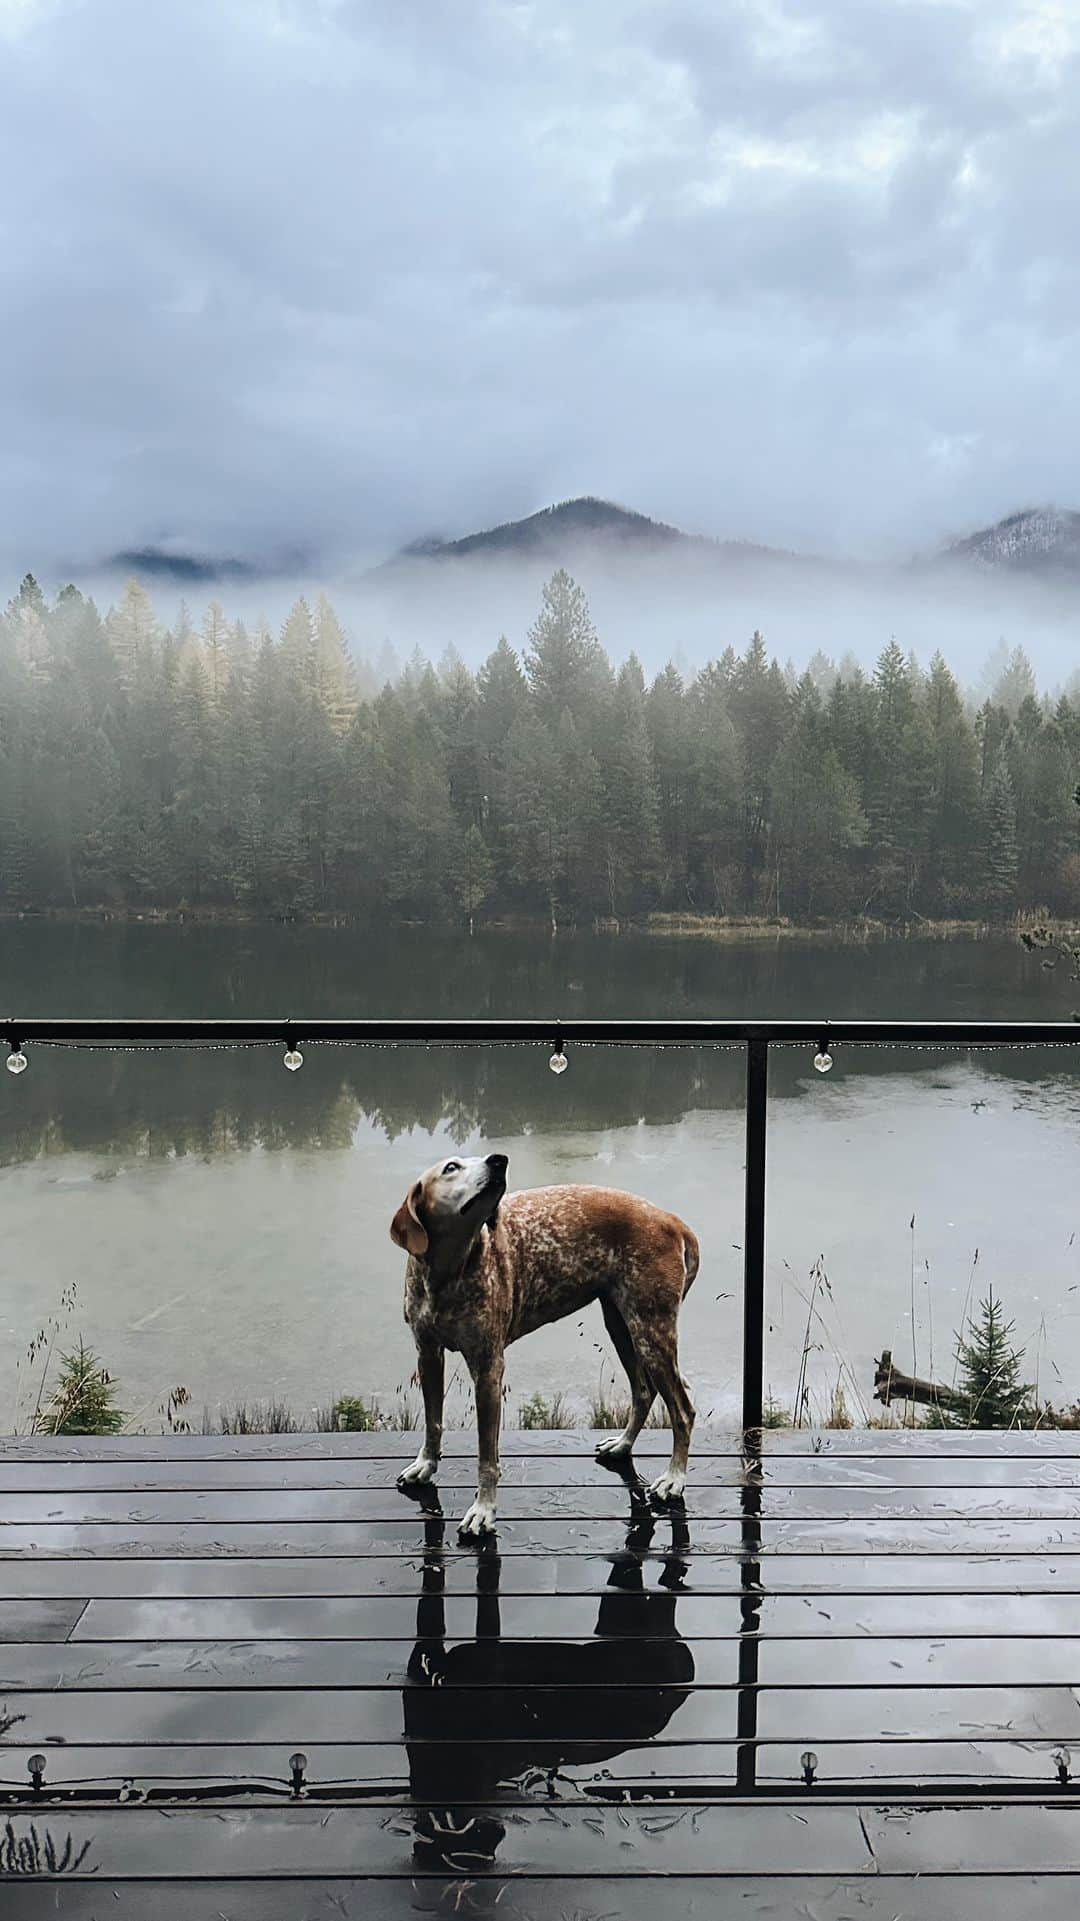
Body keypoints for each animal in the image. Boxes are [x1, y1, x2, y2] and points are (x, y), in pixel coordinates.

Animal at [388, 1144, 699, 1536]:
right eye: (451, 1167)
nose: (498, 1160)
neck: (448, 1272)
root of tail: (672, 1220)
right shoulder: (428, 1354)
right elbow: (433, 1422)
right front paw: (426, 1465)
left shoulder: (488, 1369)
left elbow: (486, 1458)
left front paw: (483, 1510)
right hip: (622, 1326)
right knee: (643, 1392)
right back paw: (622, 1444)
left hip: (651, 1333)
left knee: (683, 1412)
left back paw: (674, 1478)